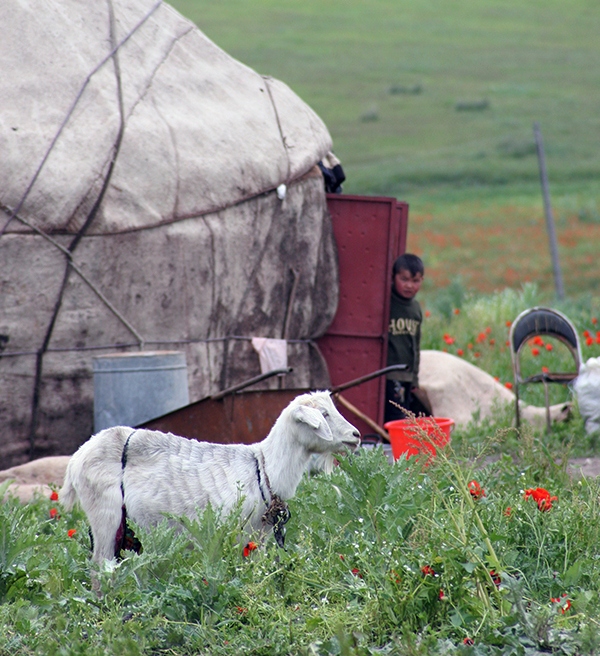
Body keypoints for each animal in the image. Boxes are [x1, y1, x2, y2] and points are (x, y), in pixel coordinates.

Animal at [59, 392, 360, 560]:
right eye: (323, 414)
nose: (356, 436)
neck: (262, 468)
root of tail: (77, 456)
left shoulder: (259, 538)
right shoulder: (235, 532)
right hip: (105, 513)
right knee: (100, 567)